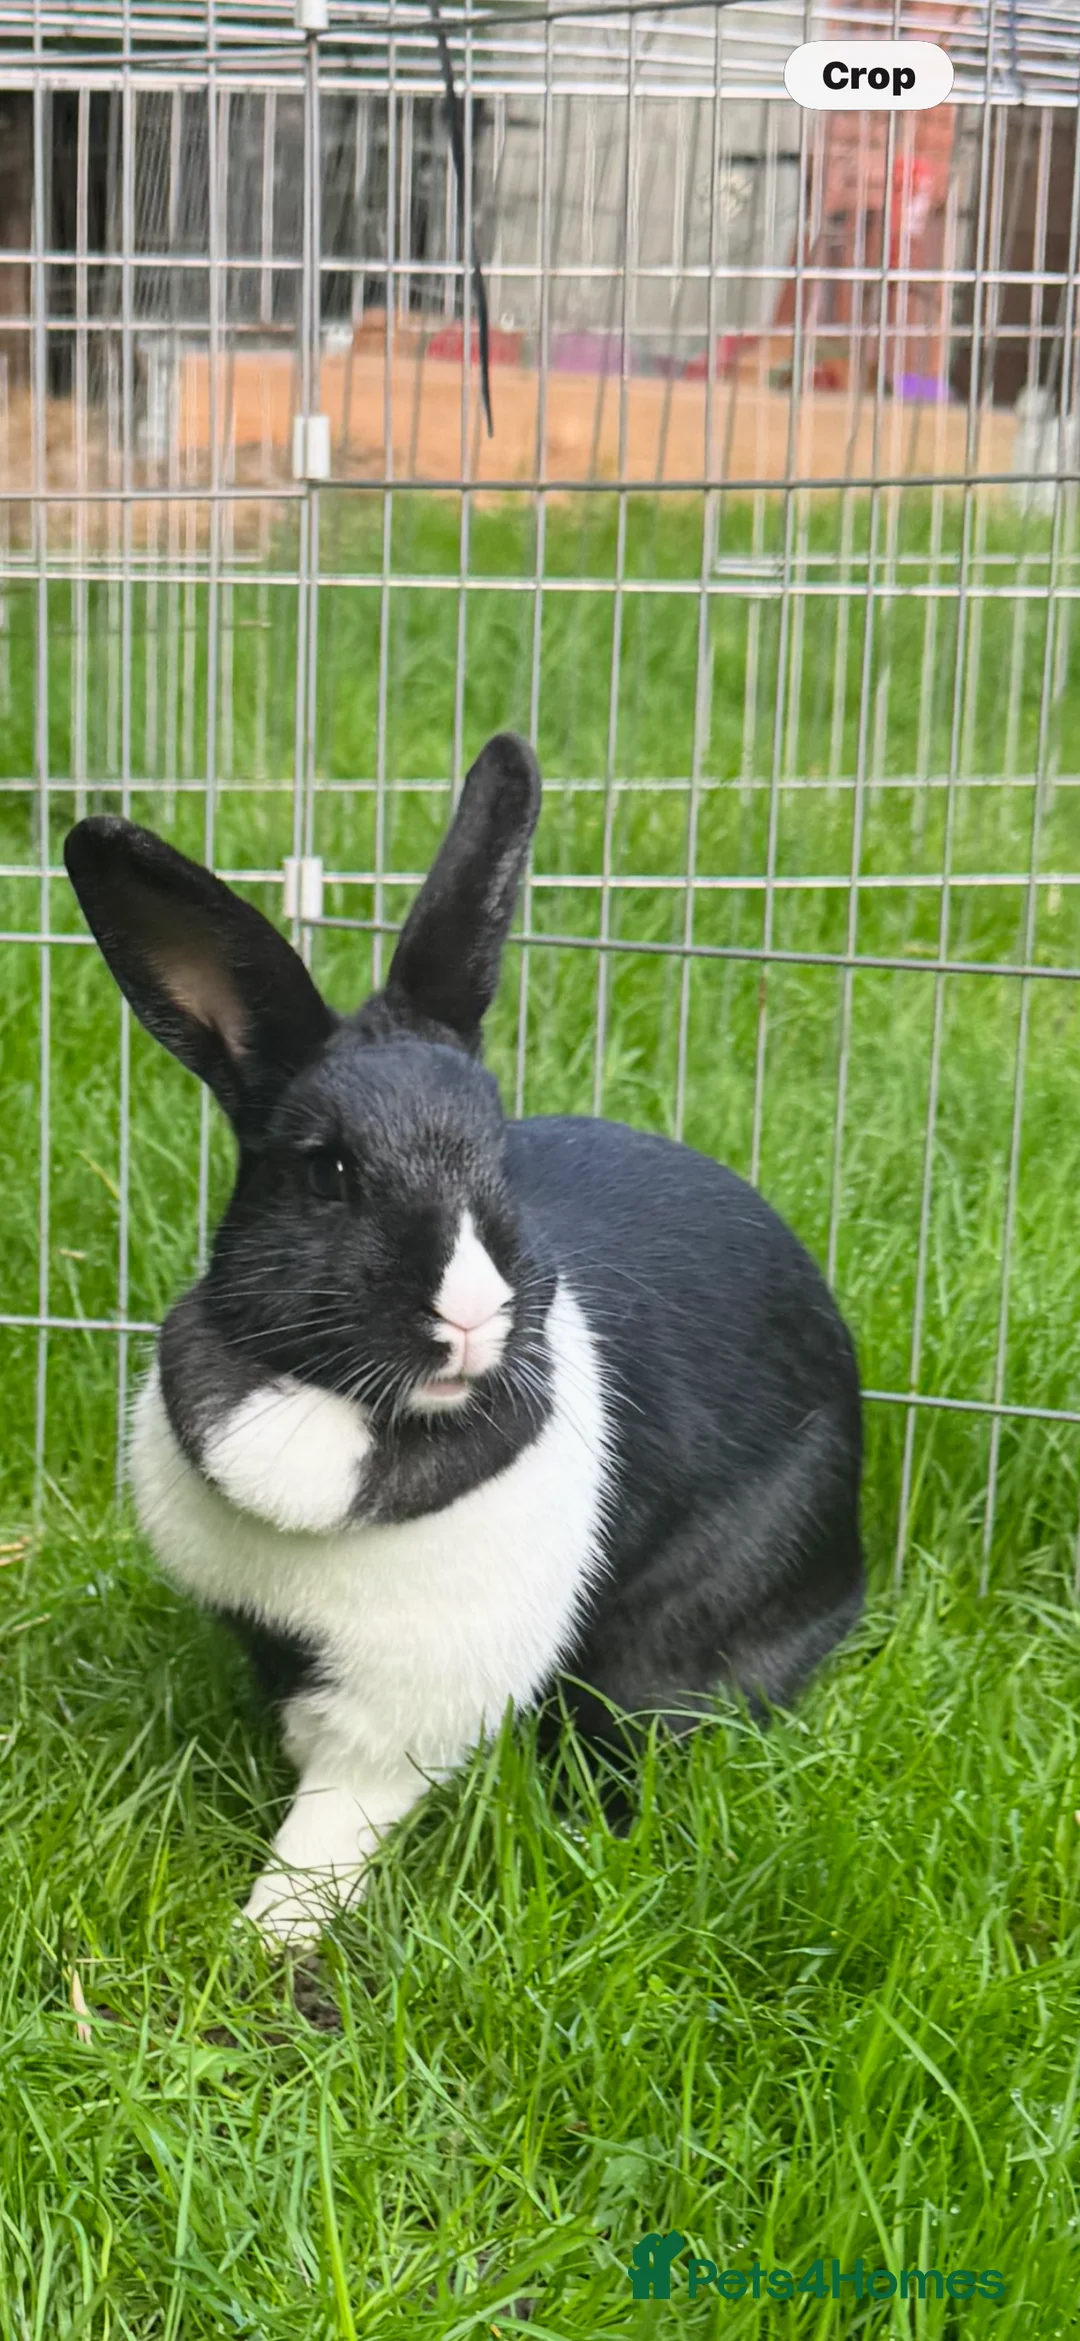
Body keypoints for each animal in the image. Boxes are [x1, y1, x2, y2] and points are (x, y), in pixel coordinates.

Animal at [64, 733, 863, 1945]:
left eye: (500, 1159)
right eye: (328, 1172)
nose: (474, 1317)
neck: (334, 1412)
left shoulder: (407, 1702)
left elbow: (335, 1816)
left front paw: (269, 1934)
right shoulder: (282, 1646)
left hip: (678, 1634)